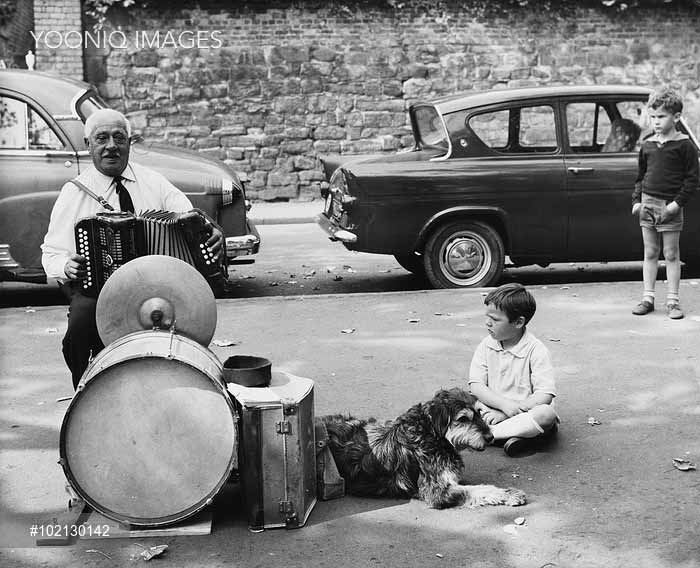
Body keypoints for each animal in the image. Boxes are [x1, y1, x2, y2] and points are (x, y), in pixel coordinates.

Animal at [320, 388, 524, 508]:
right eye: (463, 418)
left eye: (479, 412)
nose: (490, 437)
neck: (431, 434)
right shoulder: (436, 491)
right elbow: (477, 490)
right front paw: (509, 494)